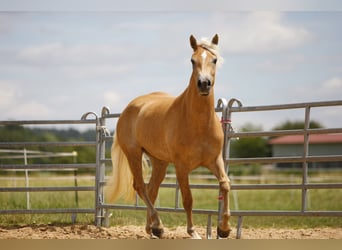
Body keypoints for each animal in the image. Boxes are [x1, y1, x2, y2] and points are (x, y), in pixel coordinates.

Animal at [105, 34, 231, 239]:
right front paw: (192, 232)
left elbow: (225, 185)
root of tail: (130, 107)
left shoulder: (215, 160)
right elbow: (188, 199)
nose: (204, 83)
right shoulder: (181, 167)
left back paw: (151, 229)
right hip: (134, 154)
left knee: (151, 190)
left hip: (160, 162)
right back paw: (158, 226)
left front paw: (224, 229)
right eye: (192, 60)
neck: (198, 123)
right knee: (140, 187)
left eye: (214, 59)